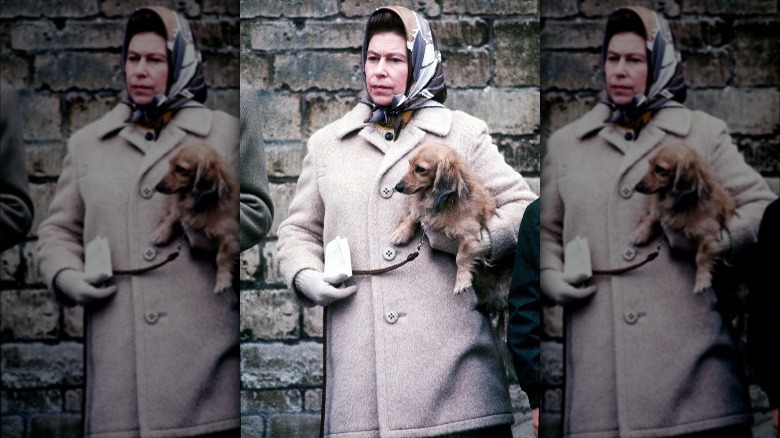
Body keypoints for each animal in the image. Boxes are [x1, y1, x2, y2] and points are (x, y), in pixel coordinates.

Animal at [151, 143, 239, 294]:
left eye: (180, 169)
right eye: (169, 164)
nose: (157, 187)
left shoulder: (230, 237)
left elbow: (221, 258)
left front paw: (222, 281)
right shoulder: (180, 209)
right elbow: (173, 215)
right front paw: (161, 232)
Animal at [394, 144, 496, 294]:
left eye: (420, 169)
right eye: (409, 164)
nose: (397, 187)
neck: (443, 202)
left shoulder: (471, 235)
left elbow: (461, 257)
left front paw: (462, 281)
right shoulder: (422, 210)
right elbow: (414, 215)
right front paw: (402, 232)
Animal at [632, 144, 736, 294]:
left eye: (660, 169)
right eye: (649, 164)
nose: (637, 187)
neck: (680, 201)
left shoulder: (711, 235)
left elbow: (701, 256)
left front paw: (702, 280)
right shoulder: (661, 210)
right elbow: (653, 215)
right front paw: (641, 232)